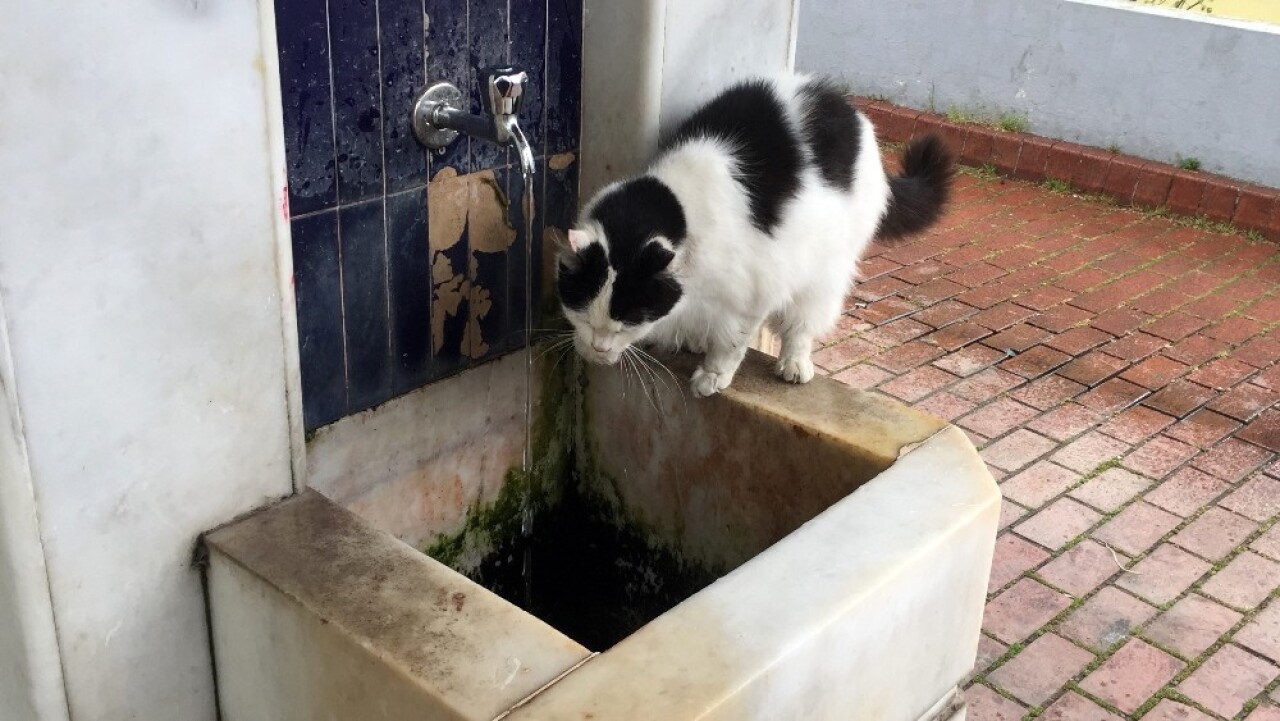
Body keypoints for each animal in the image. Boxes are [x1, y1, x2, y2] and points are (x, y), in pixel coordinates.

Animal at [552, 76, 952, 396]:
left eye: (627, 325)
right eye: (583, 319)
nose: (598, 350)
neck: (679, 203)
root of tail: (842, 104)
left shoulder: (756, 289)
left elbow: (733, 340)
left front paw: (713, 375)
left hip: (824, 270)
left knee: (802, 322)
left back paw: (794, 363)